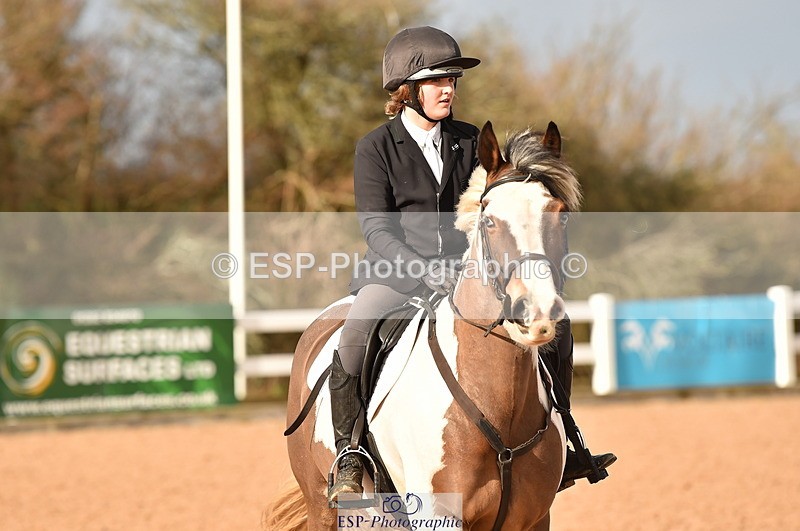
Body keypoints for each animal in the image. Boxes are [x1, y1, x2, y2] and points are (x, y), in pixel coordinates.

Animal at [265, 120, 583, 530]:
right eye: (489, 220)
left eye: (560, 214)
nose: (536, 313)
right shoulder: (438, 516)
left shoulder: (534, 518)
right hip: (321, 504)